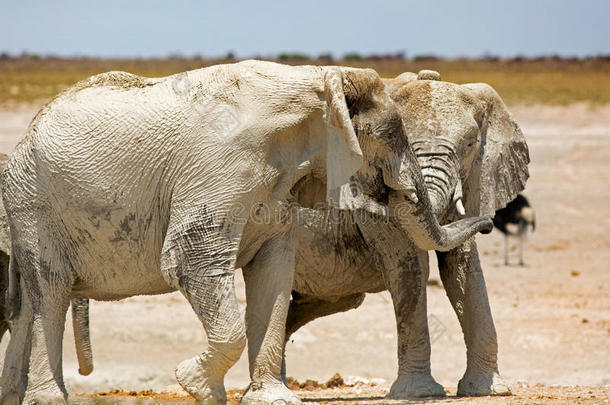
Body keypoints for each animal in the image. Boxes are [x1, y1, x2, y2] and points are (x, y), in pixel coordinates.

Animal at [0, 60, 490, 404]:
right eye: (390, 135)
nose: (486, 223)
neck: (316, 80)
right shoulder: (218, 168)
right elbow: (192, 259)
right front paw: (194, 385)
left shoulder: (281, 188)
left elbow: (273, 274)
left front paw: (271, 399)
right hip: (31, 203)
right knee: (52, 291)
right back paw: (49, 401)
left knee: (39, 300)